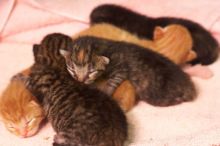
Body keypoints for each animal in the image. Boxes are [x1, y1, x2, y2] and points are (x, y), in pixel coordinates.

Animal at [60, 35, 198, 105]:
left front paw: (106, 92)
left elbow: (112, 82)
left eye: (91, 71)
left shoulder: (121, 70)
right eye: (72, 69)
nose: (80, 80)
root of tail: (190, 87)